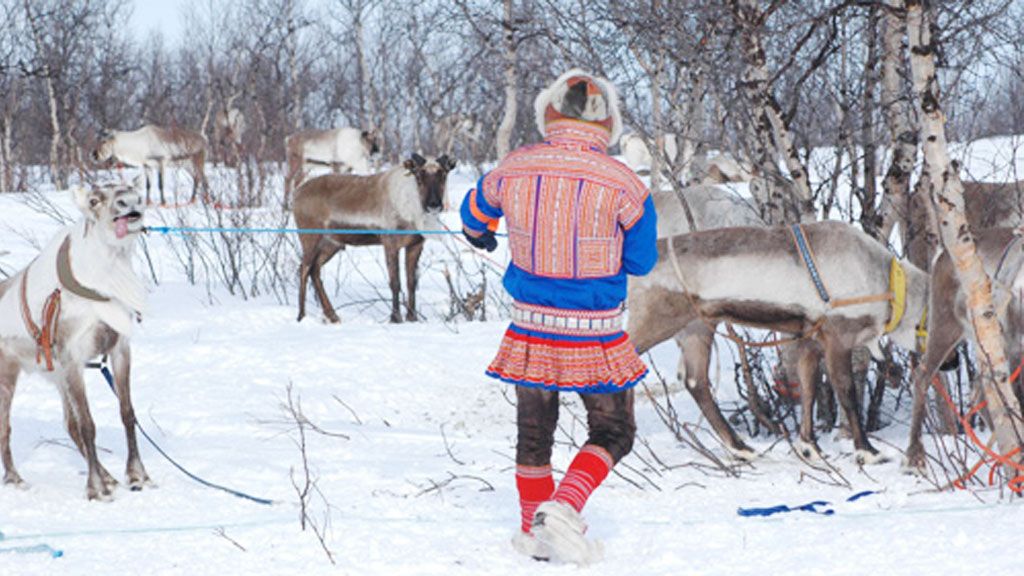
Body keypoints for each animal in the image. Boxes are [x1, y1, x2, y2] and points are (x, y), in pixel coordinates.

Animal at [0, 182, 150, 500]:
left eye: (133, 190)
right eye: (94, 200)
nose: (129, 202)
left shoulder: (119, 349)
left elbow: (127, 413)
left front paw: (136, 475)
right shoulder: (73, 359)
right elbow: (87, 425)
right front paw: (95, 490)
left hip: (55, 376)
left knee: (68, 424)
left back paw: (108, 477)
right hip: (9, 375)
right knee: (4, 427)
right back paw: (15, 479)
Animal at [293, 153, 456, 324]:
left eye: (443, 174)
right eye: (418, 175)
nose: (434, 204)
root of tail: (295, 194)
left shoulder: (415, 245)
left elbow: (411, 282)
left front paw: (412, 318)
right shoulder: (390, 243)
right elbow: (395, 282)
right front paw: (395, 318)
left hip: (332, 244)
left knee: (315, 270)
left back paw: (333, 316)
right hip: (310, 238)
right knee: (304, 269)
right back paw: (301, 315)